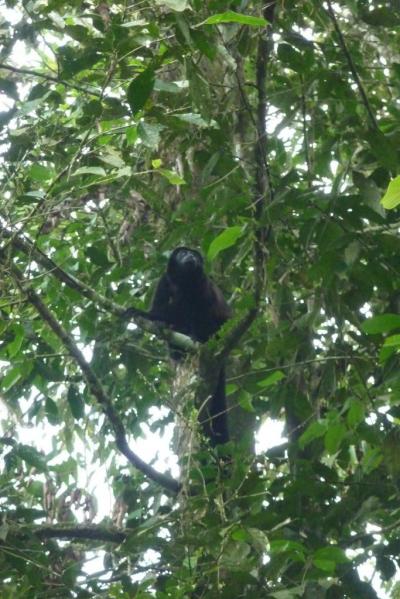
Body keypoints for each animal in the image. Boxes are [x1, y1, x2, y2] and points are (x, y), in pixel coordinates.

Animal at [136, 246, 231, 448]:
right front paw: (143, 315)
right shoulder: (164, 281)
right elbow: (158, 309)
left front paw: (194, 334)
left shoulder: (203, 283)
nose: (190, 256)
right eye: (183, 253)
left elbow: (204, 308)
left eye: (194, 254)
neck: (183, 280)